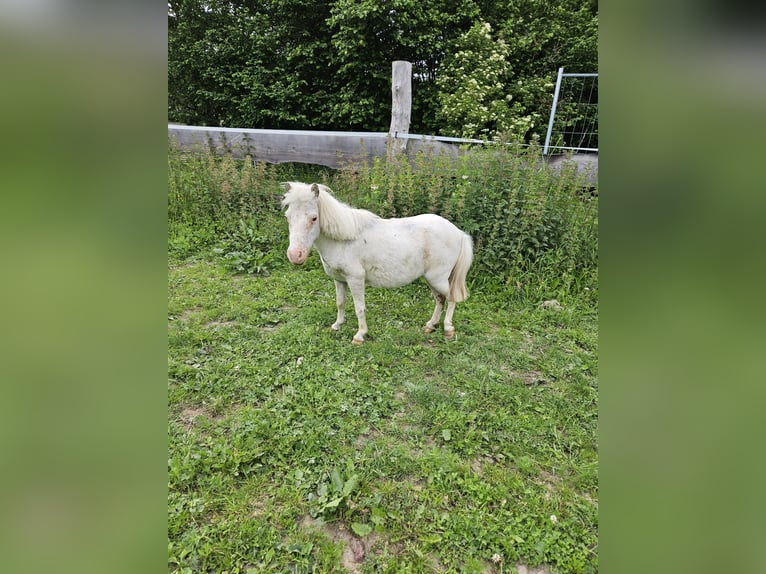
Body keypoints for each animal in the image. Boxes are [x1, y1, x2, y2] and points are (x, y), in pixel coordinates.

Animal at [282, 184, 474, 344]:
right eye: (287, 217)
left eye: (314, 218)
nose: (295, 255)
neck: (343, 240)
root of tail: (458, 233)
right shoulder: (339, 280)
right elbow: (340, 303)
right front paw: (337, 325)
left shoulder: (355, 279)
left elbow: (359, 308)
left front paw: (360, 335)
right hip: (432, 280)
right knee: (440, 300)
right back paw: (430, 325)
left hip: (438, 279)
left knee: (451, 298)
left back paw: (448, 329)